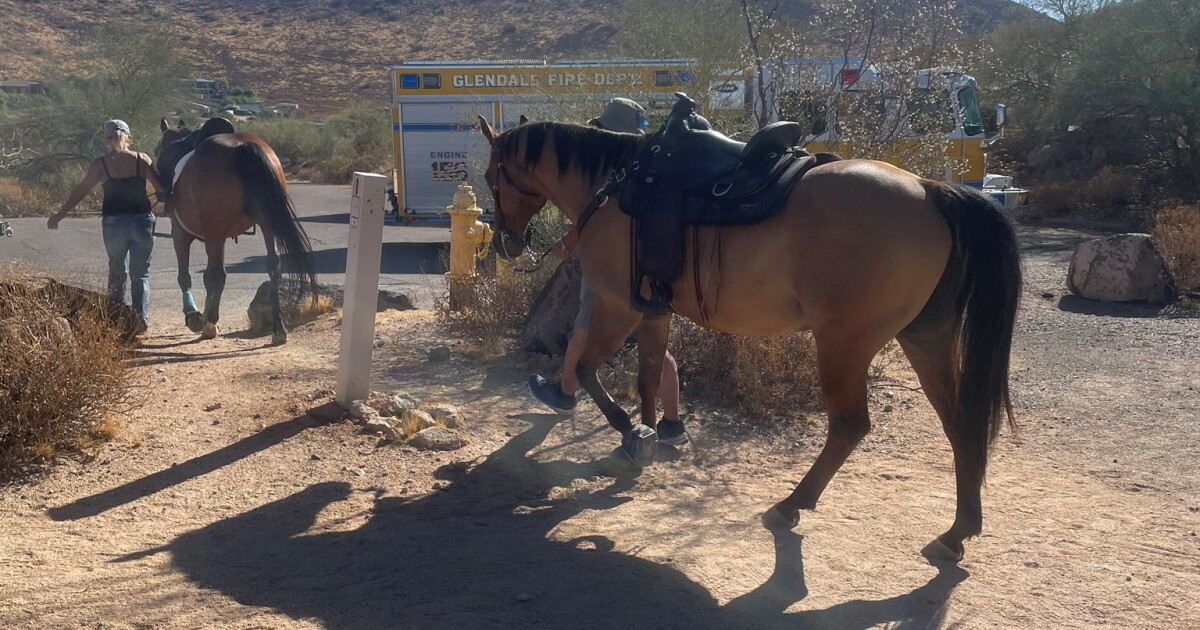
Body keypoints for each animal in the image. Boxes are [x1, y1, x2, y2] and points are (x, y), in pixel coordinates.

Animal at [156, 118, 316, 344]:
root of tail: (242, 145)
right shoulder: (218, 237)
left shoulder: (182, 233)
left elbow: (186, 275)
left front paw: (194, 316)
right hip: (266, 225)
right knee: (273, 266)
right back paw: (278, 328)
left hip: (213, 234)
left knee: (217, 275)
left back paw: (209, 326)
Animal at [477, 117, 1022, 563]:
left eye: (489, 176)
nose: (505, 241)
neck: (613, 185)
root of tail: (930, 191)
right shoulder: (652, 309)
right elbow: (649, 376)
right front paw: (643, 439)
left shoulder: (617, 304)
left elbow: (589, 370)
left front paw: (630, 431)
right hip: (926, 339)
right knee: (961, 424)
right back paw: (956, 533)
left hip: (844, 345)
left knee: (849, 426)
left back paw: (791, 505)